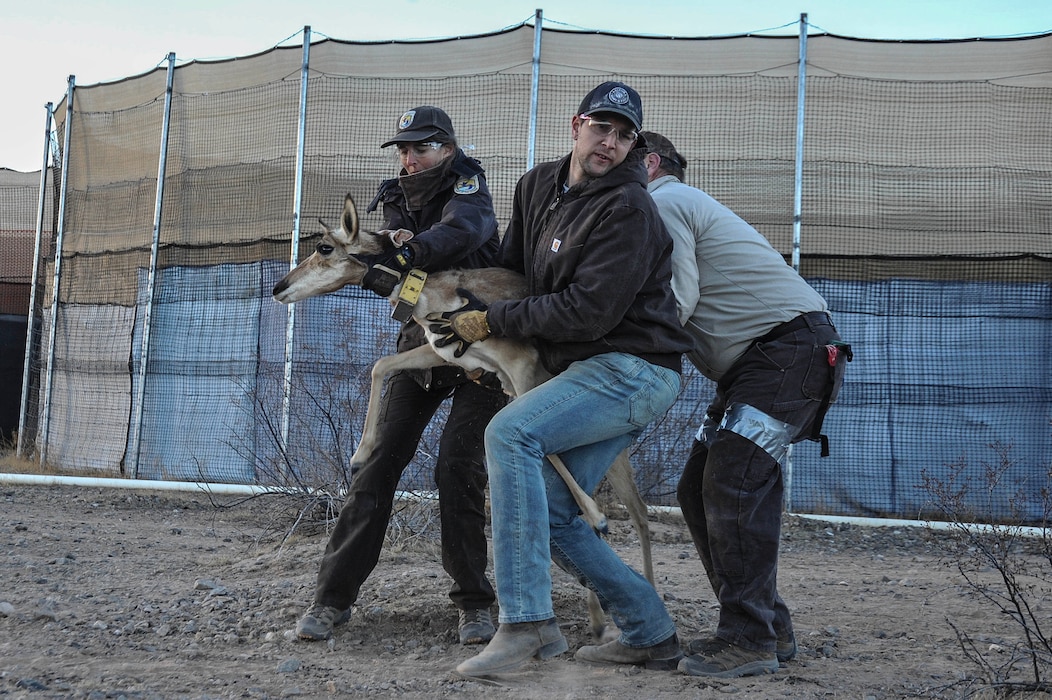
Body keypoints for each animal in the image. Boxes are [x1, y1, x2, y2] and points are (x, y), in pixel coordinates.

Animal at [271, 192, 648, 640]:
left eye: (325, 248)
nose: (278, 288)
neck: (438, 294)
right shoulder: (450, 356)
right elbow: (381, 365)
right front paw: (361, 454)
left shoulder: (520, 371)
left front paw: (597, 513)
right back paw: (600, 615)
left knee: (638, 517)